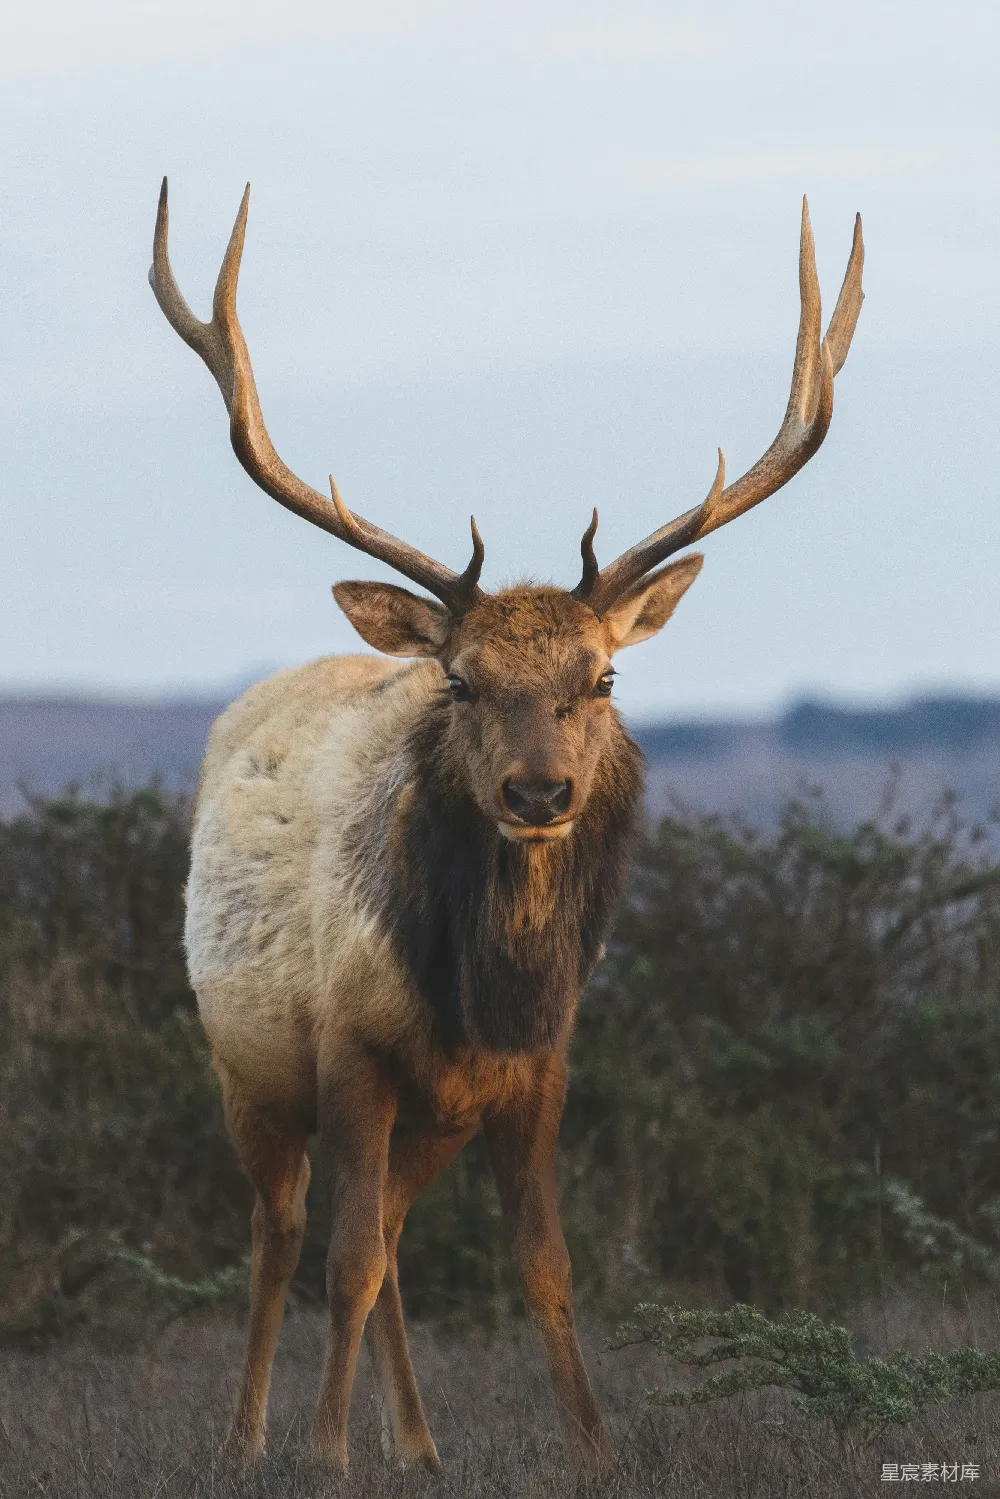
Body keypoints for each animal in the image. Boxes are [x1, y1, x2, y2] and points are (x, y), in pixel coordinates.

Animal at [149, 179, 863, 1473]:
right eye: (463, 679)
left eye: (603, 677)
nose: (539, 793)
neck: (482, 992)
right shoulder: (351, 1051)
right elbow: (342, 1258)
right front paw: (323, 1455)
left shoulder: (536, 1070)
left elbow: (542, 1264)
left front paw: (595, 1450)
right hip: (248, 1066)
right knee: (285, 1232)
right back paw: (248, 1438)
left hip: (431, 1116)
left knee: (387, 1238)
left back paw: (421, 1448)